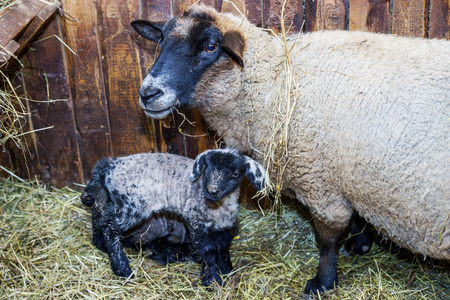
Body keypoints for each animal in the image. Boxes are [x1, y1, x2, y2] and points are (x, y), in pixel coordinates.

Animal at [81, 149, 266, 288]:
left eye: (235, 173)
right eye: (207, 168)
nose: (212, 191)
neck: (217, 207)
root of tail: (111, 164)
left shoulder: (224, 227)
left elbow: (222, 248)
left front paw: (226, 271)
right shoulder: (195, 221)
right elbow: (208, 250)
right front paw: (211, 280)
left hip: (110, 199)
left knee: (99, 215)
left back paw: (100, 245)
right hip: (131, 205)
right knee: (110, 229)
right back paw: (122, 269)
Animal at [128, 4, 448, 296]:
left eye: (210, 46)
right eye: (162, 40)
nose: (148, 93)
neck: (276, 80)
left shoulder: (320, 182)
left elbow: (326, 239)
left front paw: (322, 283)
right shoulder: (350, 174)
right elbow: (357, 215)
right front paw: (360, 243)